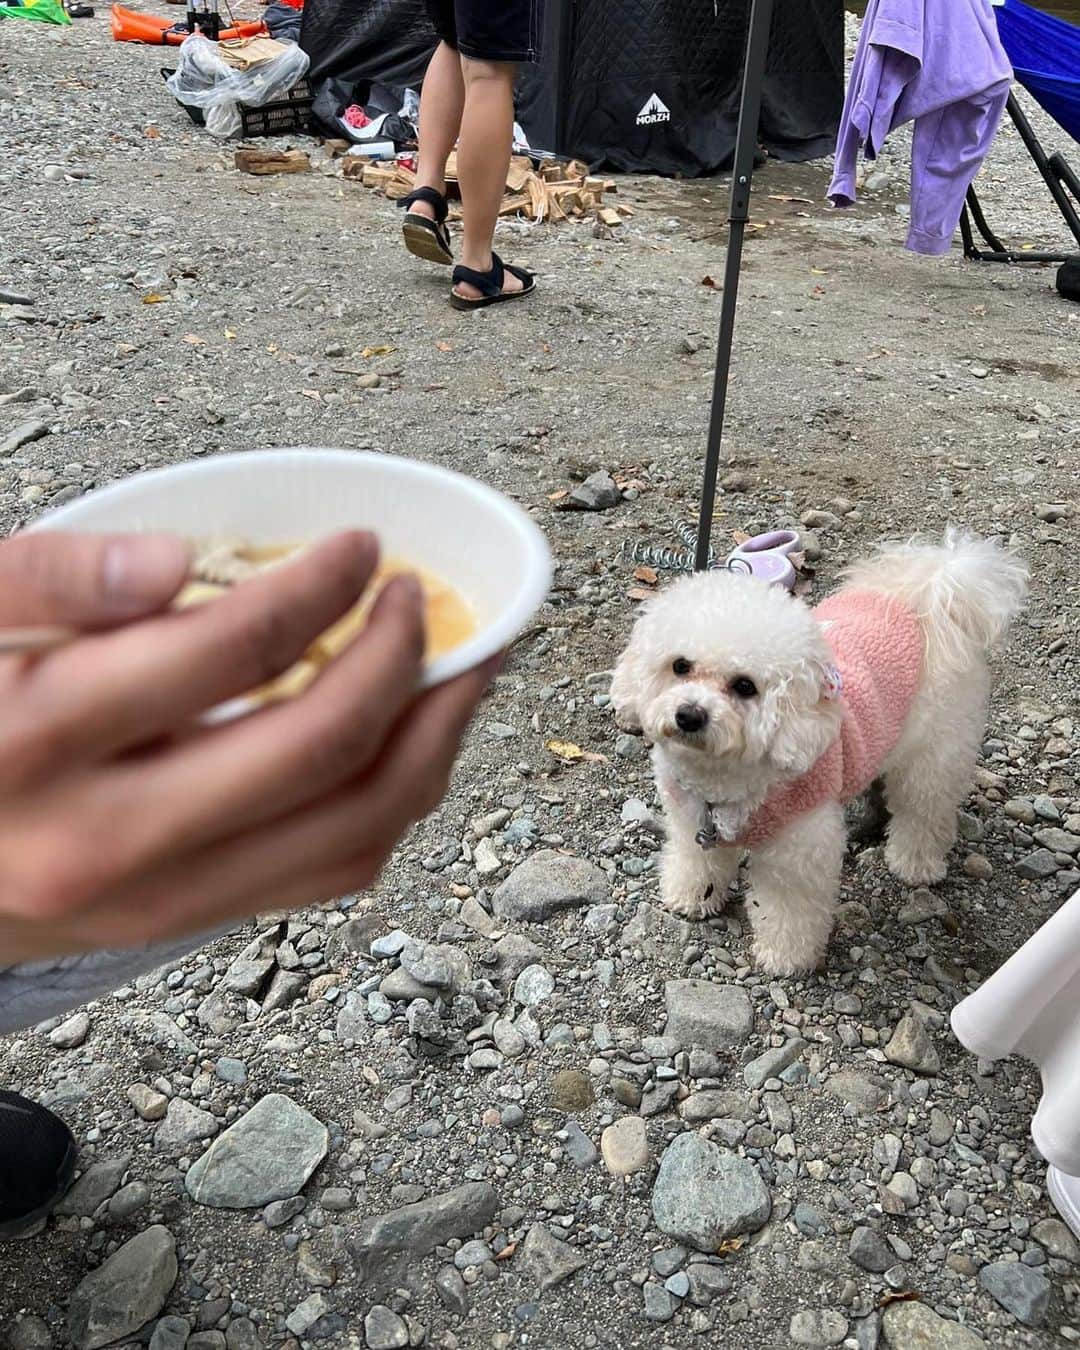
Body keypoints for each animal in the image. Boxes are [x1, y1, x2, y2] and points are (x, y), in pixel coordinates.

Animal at [612, 531, 1026, 977]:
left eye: (745, 686)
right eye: (680, 666)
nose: (689, 715)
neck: (724, 778)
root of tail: (925, 598)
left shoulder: (799, 848)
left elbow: (788, 907)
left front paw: (786, 956)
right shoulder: (691, 817)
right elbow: (698, 860)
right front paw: (691, 895)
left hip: (936, 748)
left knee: (925, 807)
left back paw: (914, 863)